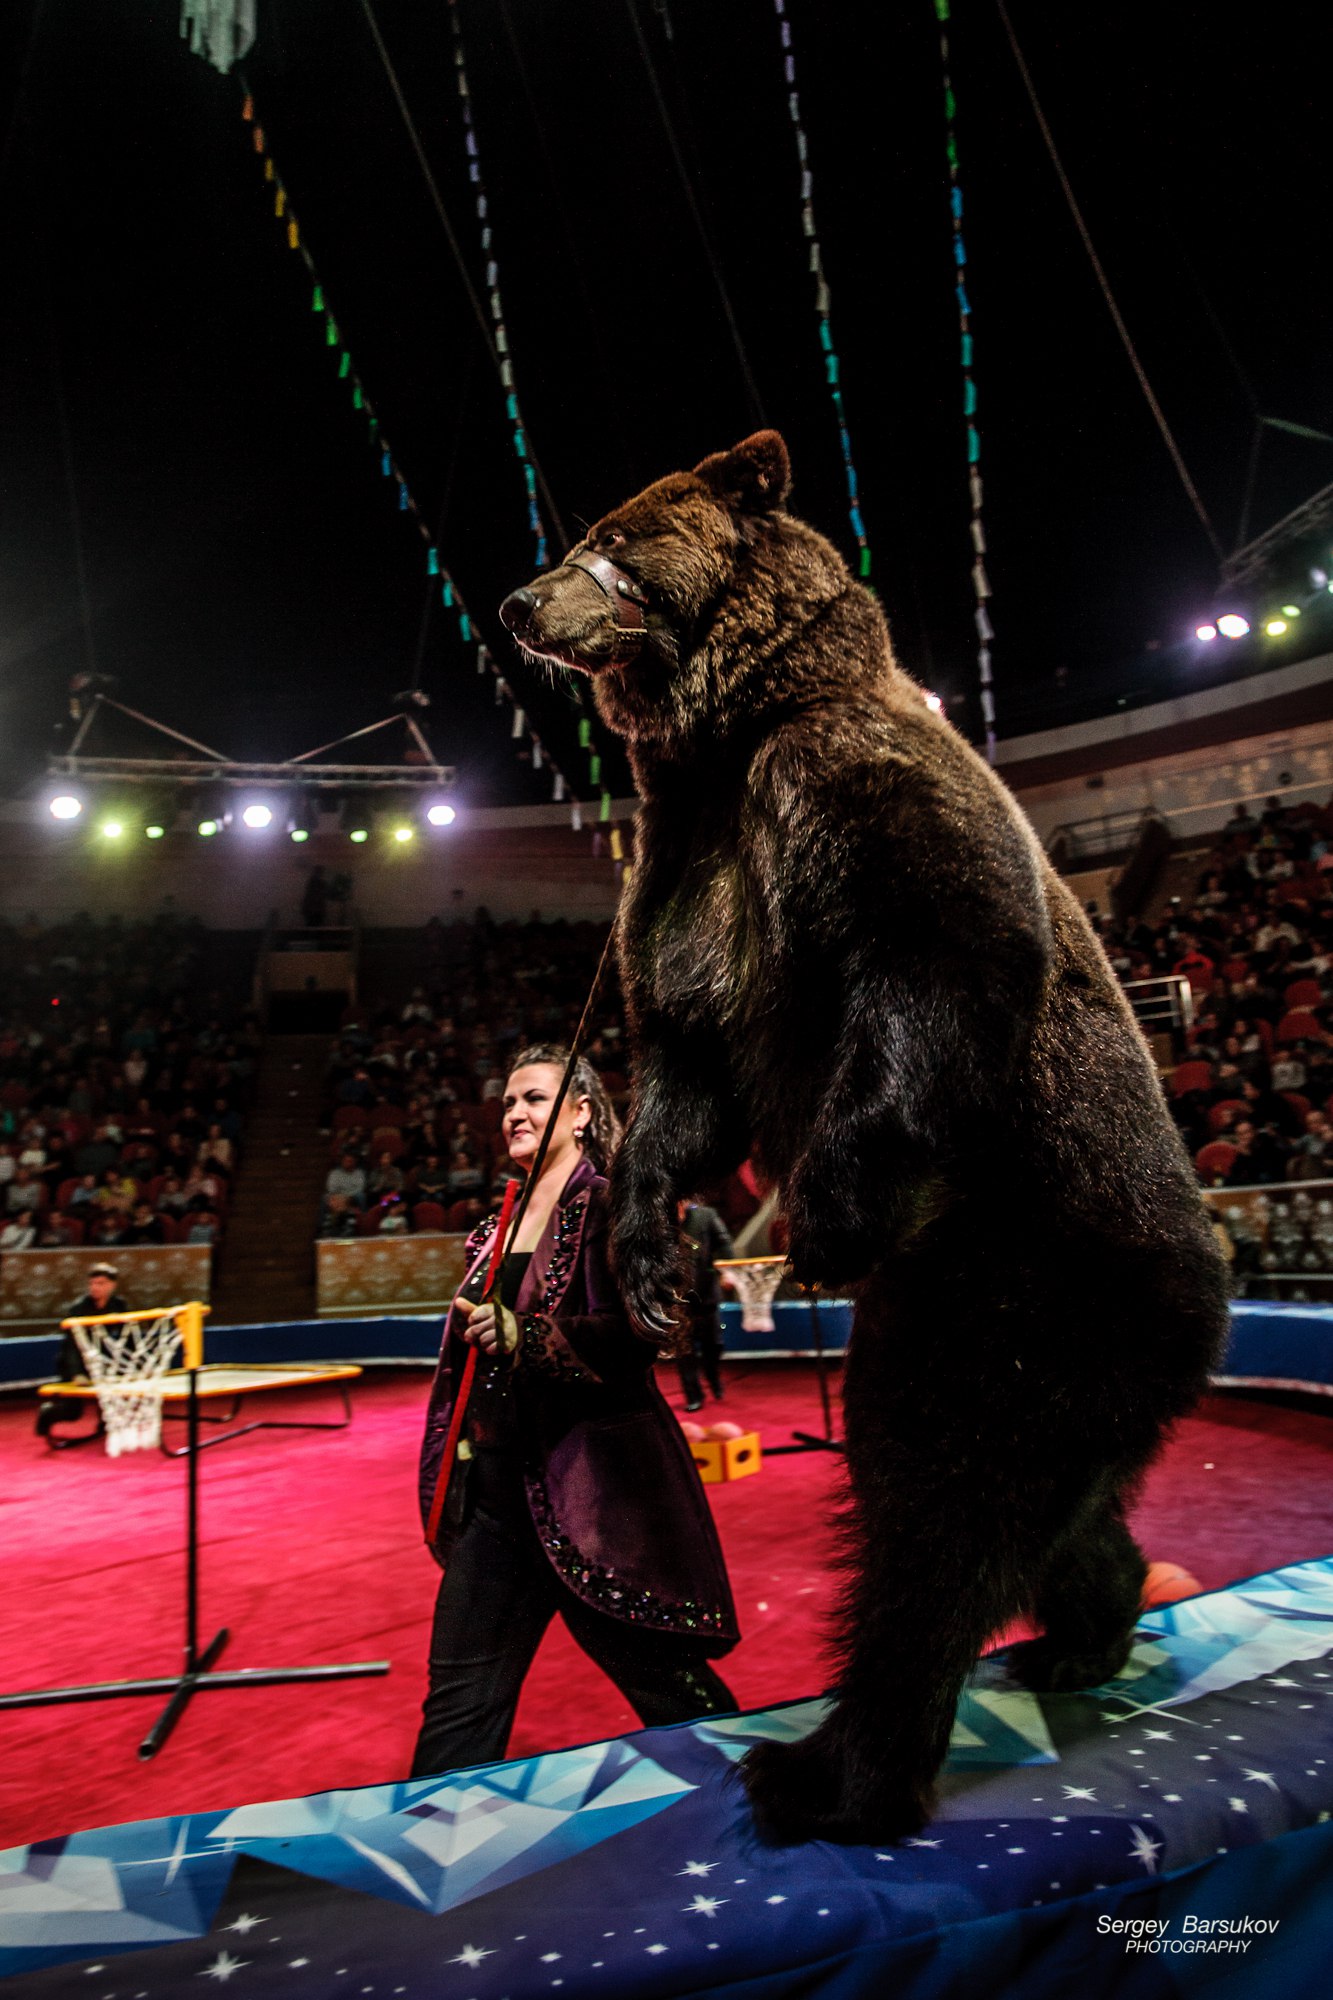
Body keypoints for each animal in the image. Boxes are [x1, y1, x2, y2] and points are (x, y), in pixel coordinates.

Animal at [496, 426, 1224, 1840]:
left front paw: (821, 1212)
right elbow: (684, 1068)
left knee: (942, 1504)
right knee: (1018, 1502)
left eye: (613, 535)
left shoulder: (838, 786)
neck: (725, 733)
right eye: (571, 534)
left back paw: (832, 1768)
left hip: (1021, 1280)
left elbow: (934, 953)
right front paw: (653, 1261)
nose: (519, 602)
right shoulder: (681, 869)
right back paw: (1082, 1628)